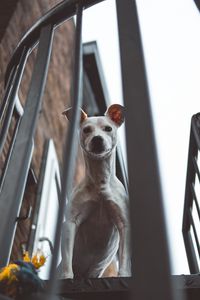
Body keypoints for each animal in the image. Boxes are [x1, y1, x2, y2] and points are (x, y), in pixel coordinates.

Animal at [57, 104, 131, 278]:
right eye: (86, 130)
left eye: (108, 128)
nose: (97, 139)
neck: (100, 181)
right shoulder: (71, 223)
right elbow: (67, 260)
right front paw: (66, 277)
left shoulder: (124, 224)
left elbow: (124, 257)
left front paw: (124, 274)